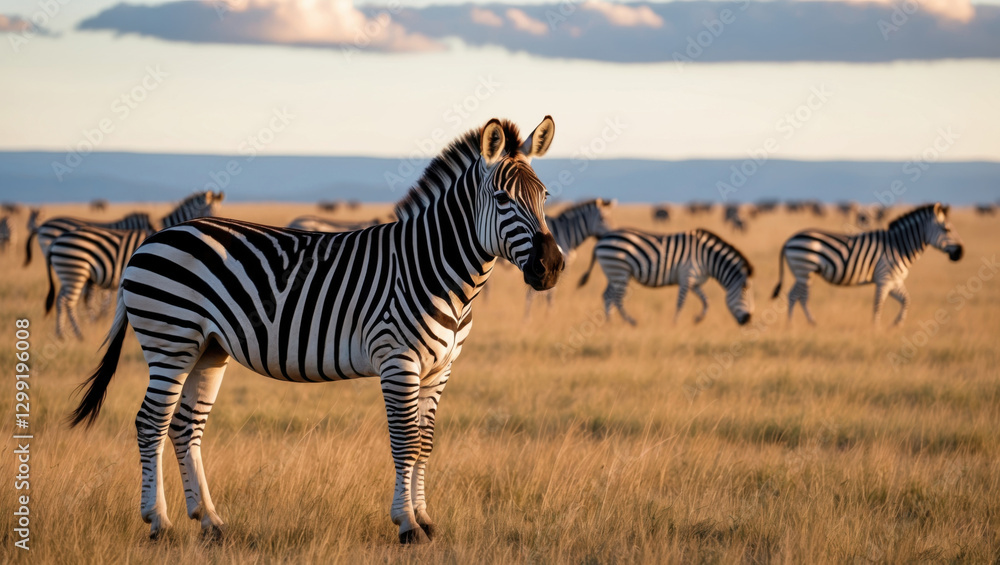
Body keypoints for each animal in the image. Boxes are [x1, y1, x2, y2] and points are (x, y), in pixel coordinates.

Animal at [46, 191, 223, 338]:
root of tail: (56, 241)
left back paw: (61, 333)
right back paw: (77, 334)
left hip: (68, 274)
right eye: (208, 210)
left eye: (218, 211)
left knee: (60, 299)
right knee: (66, 301)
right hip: (74, 272)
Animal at [68, 117, 564, 544]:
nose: (552, 266)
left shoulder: (441, 367)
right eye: (501, 198)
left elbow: (425, 442)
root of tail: (154, 239)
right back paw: (159, 522)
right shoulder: (398, 359)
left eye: (545, 196)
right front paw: (406, 525)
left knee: (184, 426)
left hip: (206, 349)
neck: (435, 269)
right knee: (150, 422)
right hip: (169, 340)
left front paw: (426, 519)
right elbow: (404, 441)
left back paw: (210, 521)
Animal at [578, 228, 754, 326]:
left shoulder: (694, 282)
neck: (708, 258)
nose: (748, 320)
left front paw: (698, 319)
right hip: (619, 271)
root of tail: (601, 240)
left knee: (607, 296)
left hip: (613, 273)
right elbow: (681, 303)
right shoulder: (686, 277)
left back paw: (610, 323)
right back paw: (630, 322)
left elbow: (706, 301)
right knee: (616, 298)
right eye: (743, 293)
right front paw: (674, 324)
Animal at [772, 203, 963, 326]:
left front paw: (896, 324)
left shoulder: (895, 281)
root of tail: (789, 239)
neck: (899, 246)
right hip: (804, 270)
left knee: (793, 296)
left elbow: (906, 300)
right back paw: (807, 323)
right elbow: (878, 305)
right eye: (947, 229)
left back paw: (792, 324)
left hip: (802, 273)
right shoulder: (884, 279)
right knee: (799, 297)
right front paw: (875, 330)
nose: (961, 253)